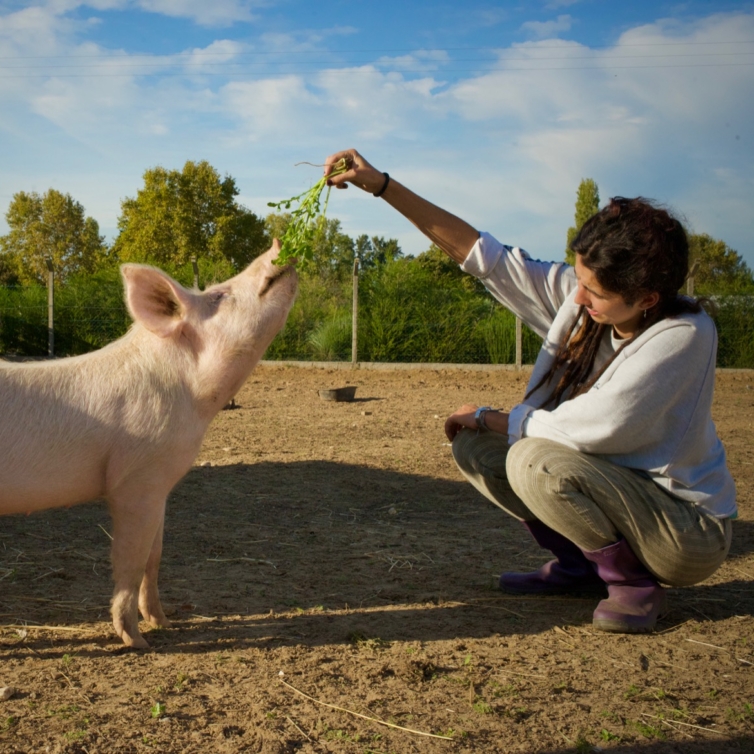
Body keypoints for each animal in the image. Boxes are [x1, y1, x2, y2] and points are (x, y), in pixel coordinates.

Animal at [0, 242, 296, 648]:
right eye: (218, 295)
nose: (278, 245)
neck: (196, 405)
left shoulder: (161, 485)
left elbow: (155, 555)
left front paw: (165, 623)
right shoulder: (135, 480)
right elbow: (132, 557)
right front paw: (138, 642)